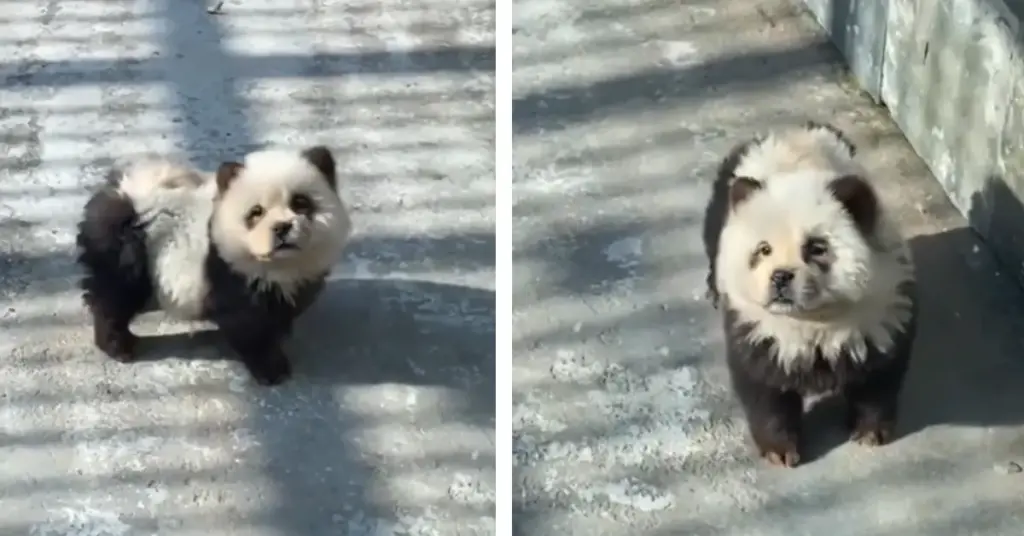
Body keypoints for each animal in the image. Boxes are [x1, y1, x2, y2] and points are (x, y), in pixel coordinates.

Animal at [75, 145, 352, 385]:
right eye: (256, 212)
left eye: (300, 202)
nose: (282, 228)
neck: (279, 264)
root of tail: (125, 193)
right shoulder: (230, 274)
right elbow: (248, 326)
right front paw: (271, 368)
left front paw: (281, 334)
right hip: (126, 251)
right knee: (114, 297)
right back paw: (118, 346)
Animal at [700, 124, 917, 467]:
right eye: (763, 249)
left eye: (816, 248)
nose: (780, 277)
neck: (813, 320)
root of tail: (792, 130)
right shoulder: (757, 327)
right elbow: (764, 388)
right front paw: (779, 449)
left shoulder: (882, 311)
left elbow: (879, 376)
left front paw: (870, 432)